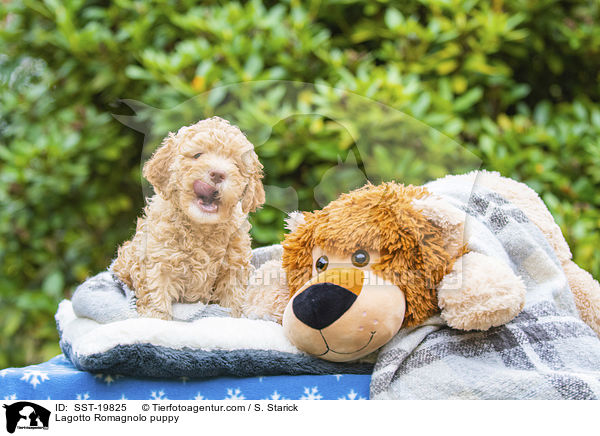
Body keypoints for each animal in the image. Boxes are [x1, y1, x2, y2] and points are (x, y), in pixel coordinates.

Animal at [111, 117, 264, 318]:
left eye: (236, 165)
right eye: (197, 155)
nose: (218, 174)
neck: (200, 228)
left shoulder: (233, 269)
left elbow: (232, 302)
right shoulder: (157, 263)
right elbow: (156, 297)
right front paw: (155, 319)